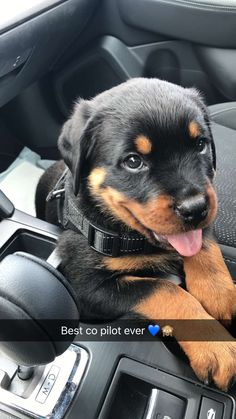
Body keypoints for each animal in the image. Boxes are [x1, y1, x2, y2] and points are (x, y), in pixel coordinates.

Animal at [36, 78, 236, 390]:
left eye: (201, 144)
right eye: (133, 162)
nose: (195, 208)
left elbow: (202, 242)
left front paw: (219, 293)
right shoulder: (87, 286)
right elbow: (166, 290)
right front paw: (216, 345)